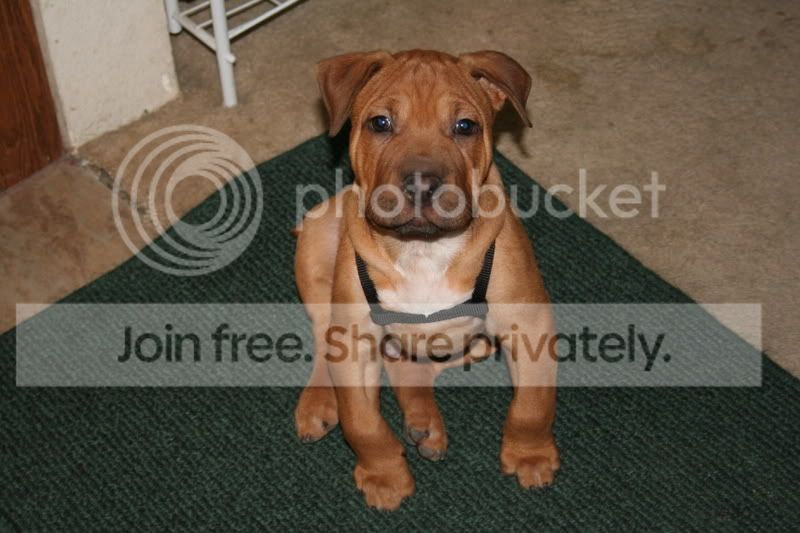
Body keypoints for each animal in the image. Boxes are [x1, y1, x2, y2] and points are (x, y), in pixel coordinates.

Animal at [293, 49, 558, 510]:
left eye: (465, 126)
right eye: (380, 123)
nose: (421, 184)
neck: (423, 248)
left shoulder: (528, 324)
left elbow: (532, 404)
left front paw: (530, 454)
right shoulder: (354, 341)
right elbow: (362, 422)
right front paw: (384, 475)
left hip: (476, 343)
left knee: (411, 369)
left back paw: (425, 424)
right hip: (317, 237)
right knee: (326, 338)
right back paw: (319, 401)